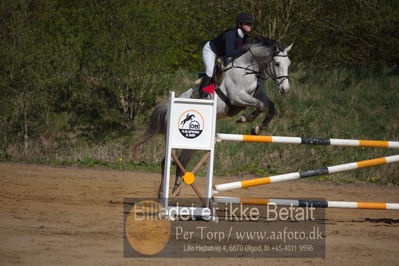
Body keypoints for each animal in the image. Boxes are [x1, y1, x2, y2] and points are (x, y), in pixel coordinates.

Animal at [133, 35, 292, 197]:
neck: (249, 69)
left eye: (289, 64)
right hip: (173, 138)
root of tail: (168, 107)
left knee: (181, 162)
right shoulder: (237, 97)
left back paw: (176, 192)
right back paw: (162, 193)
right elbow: (260, 106)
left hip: (191, 144)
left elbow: (270, 107)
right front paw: (245, 120)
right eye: (277, 63)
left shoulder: (258, 94)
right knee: (166, 161)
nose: (285, 89)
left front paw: (258, 129)